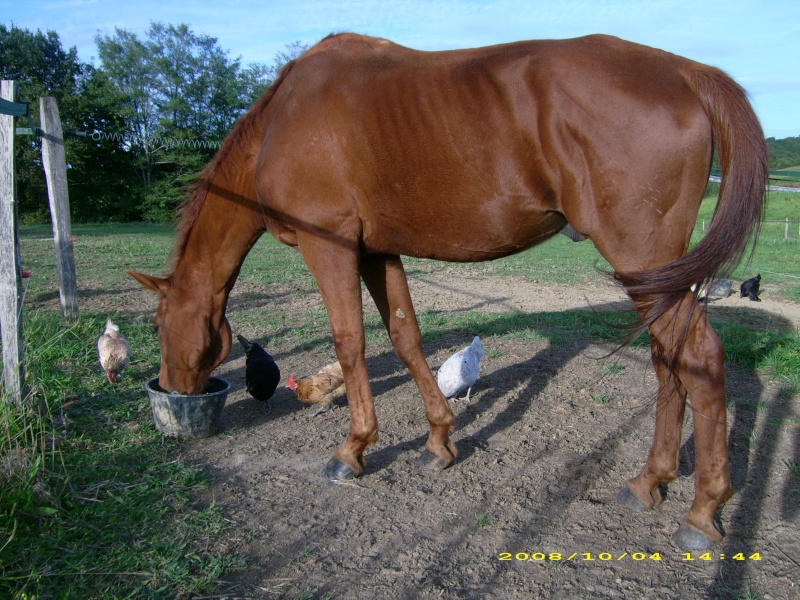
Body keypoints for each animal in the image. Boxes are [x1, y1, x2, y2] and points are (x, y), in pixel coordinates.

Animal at [130, 31, 768, 548]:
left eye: (158, 325)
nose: (171, 390)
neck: (282, 120)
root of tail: (683, 71)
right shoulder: (377, 251)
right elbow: (406, 338)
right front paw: (439, 441)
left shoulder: (329, 246)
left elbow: (349, 343)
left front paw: (352, 451)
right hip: (659, 277)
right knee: (668, 361)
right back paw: (648, 481)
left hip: (643, 260)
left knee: (700, 359)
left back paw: (703, 512)